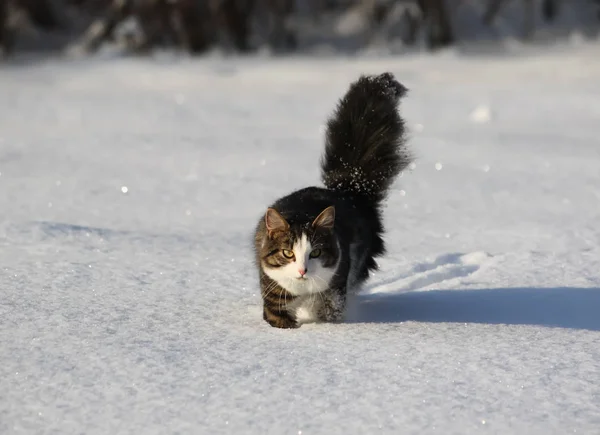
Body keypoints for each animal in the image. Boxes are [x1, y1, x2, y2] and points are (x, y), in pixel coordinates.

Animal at [253, 72, 412, 330]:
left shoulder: (336, 284)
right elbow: (279, 318)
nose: (302, 270)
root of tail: (350, 189)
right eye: (288, 253)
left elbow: (330, 311)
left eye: (316, 253)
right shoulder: (274, 292)